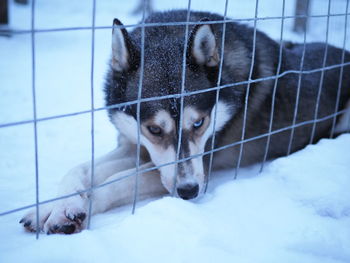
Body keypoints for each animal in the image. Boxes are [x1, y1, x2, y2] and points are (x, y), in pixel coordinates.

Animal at [20, 10, 348, 235]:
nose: (189, 191)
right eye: (154, 129)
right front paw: (55, 206)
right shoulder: (136, 147)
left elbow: (119, 180)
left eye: (199, 123)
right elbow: (80, 169)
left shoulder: (201, 162)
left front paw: (81, 207)